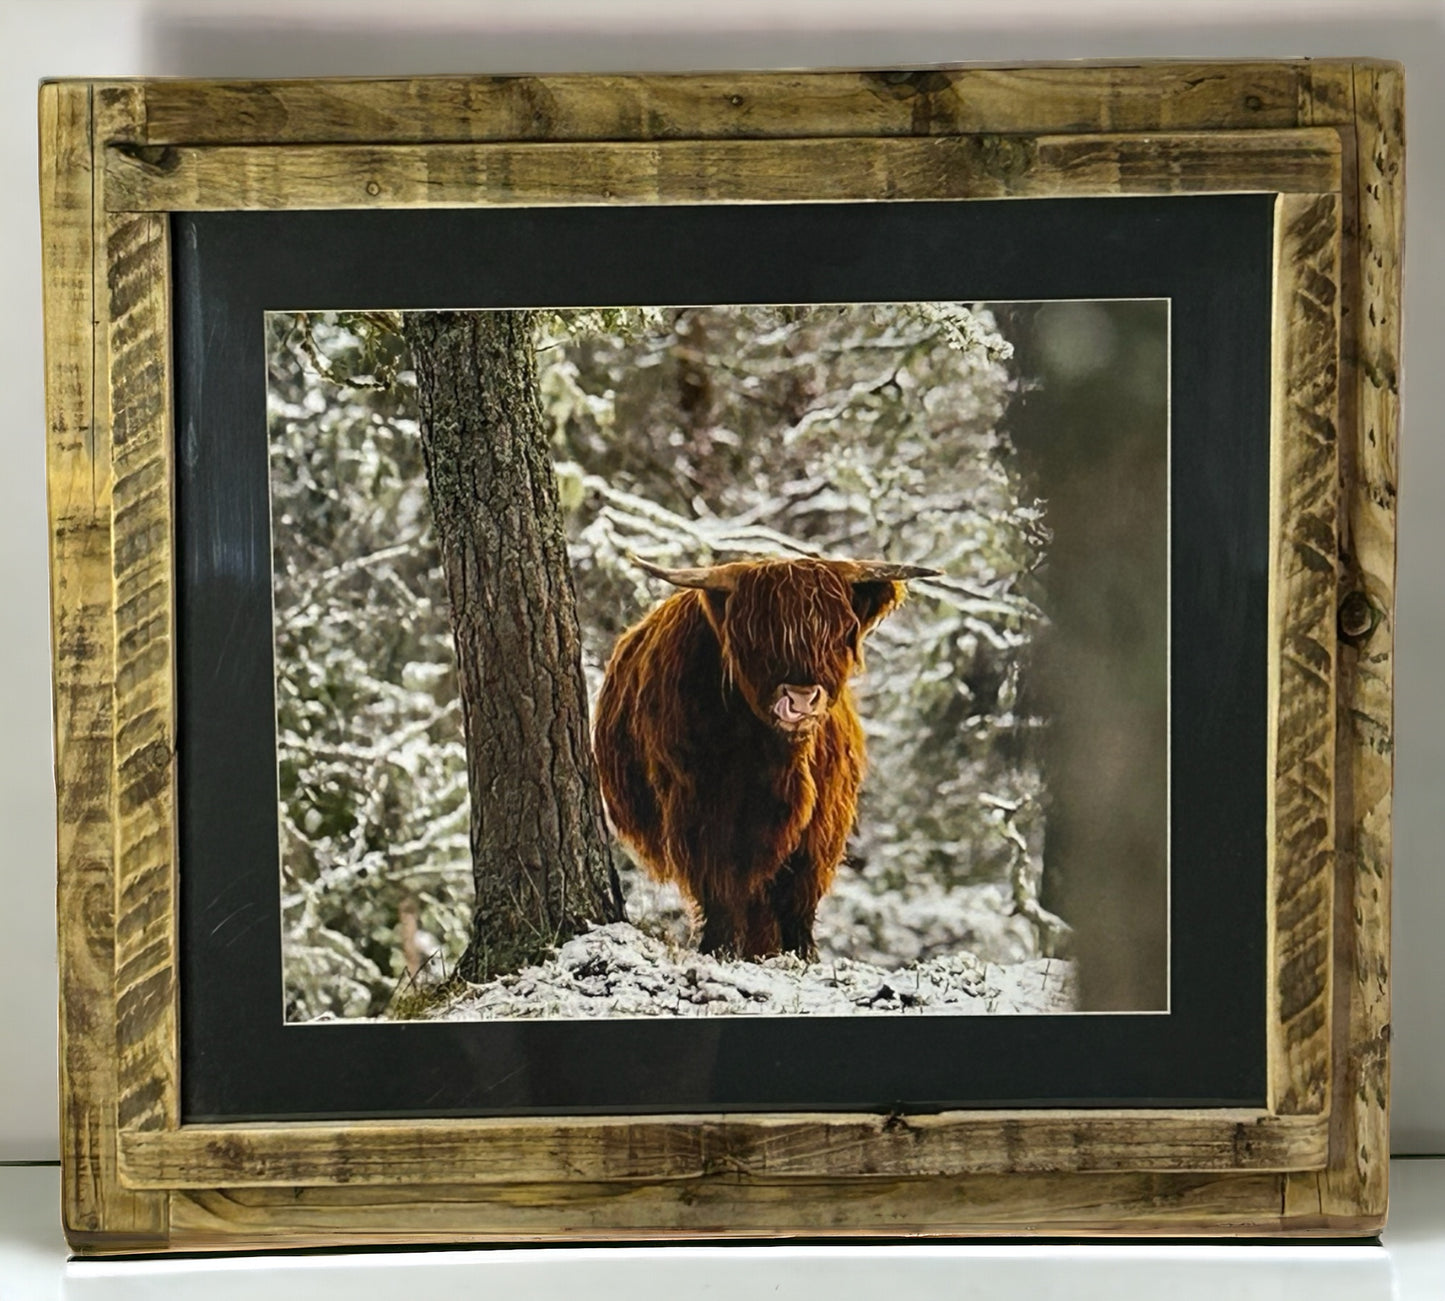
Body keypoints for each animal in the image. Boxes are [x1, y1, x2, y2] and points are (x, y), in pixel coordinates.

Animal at [589, 555, 936, 959]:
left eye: (840, 631)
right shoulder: (701, 806)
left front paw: (802, 953)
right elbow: (720, 884)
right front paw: (719, 947)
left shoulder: (821, 823)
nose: (801, 699)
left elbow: (799, 894)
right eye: (756, 634)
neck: (772, 759)